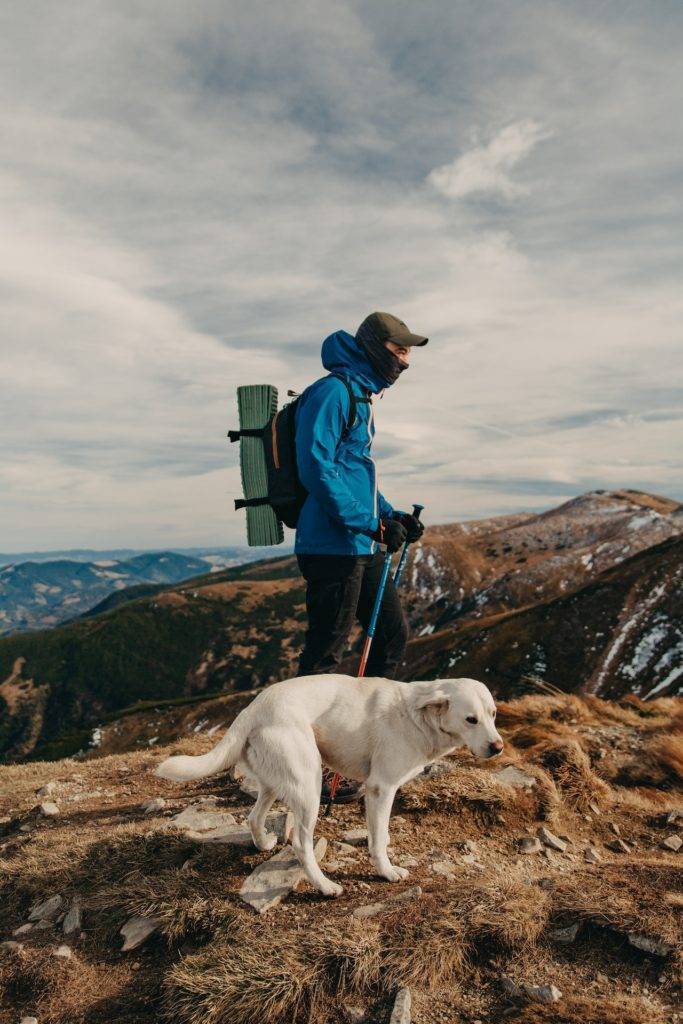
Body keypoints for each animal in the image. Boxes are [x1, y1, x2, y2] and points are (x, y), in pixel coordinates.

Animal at [157, 675, 505, 901]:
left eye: (493, 714)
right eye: (471, 719)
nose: (498, 747)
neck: (417, 717)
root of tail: (252, 709)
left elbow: (382, 836)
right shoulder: (381, 788)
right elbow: (378, 839)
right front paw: (386, 871)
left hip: (277, 781)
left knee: (254, 817)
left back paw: (264, 843)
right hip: (308, 786)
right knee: (301, 843)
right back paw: (325, 886)